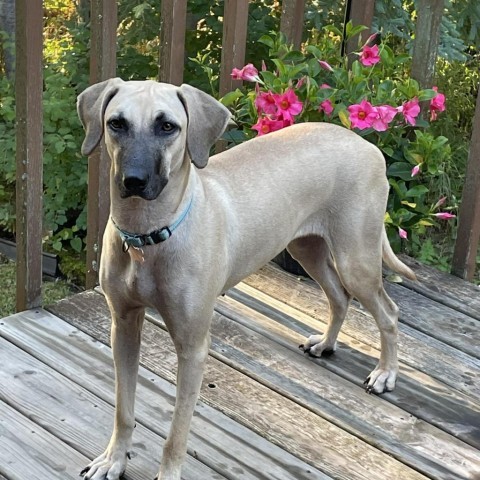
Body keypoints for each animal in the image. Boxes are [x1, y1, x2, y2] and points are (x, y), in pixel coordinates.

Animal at [77, 79, 414, 480]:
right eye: (116, 123)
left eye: (167, 126)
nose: (133, 180)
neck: (150, 235)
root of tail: (369, 146)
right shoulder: (124, 326)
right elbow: (123, 409)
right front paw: (113, 459)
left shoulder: (192, 348)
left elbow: (176, 433)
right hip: (305, 247)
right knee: (338, 296)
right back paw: (326, 344)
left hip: (355, 258)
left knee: (388, 312)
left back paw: (385, 374)